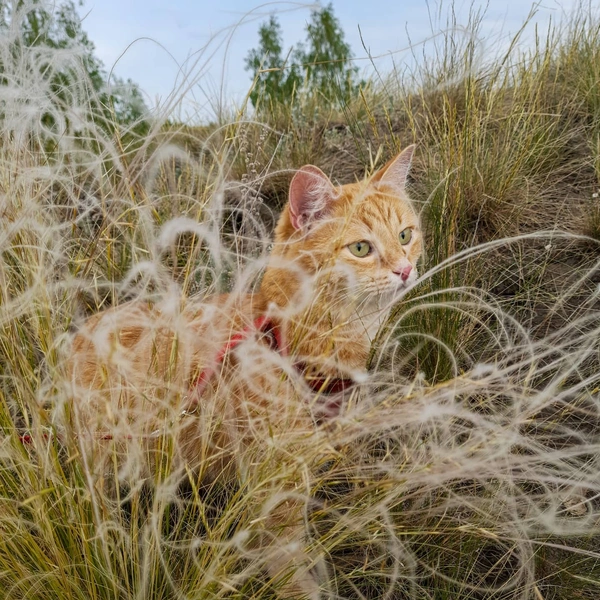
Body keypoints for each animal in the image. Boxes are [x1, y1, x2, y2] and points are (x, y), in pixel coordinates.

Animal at [67, 145, 422, 600]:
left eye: (405, 236)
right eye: (361, 248)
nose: (404, 270)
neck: (287, 345)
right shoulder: (274, 514)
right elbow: (296, 580)